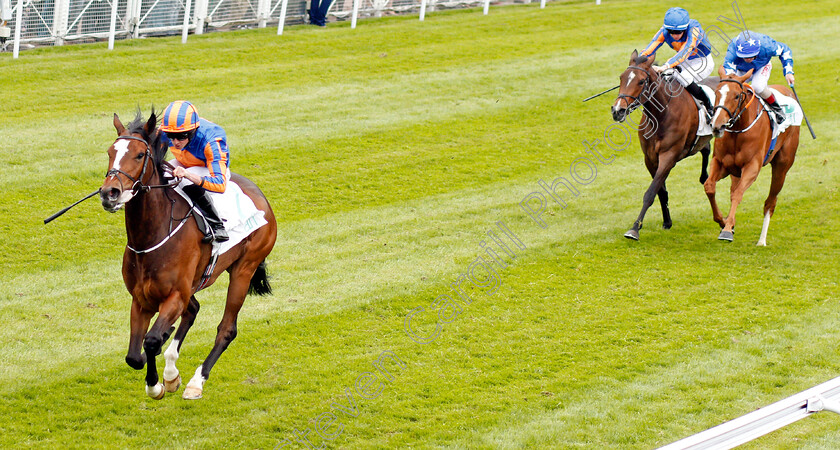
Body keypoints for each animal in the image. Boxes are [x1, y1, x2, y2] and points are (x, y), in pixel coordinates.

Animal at [98, 110, 276, 400]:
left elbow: (151, 341)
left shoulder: (174, 295)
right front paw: (163, 377)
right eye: (110, 152)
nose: (109, 193)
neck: (151, 237)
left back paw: (195, 382)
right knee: (192, 310)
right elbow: (134, 356)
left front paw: (156, 385)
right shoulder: (141, 299)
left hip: (244, 269)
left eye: (139, 154)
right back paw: (172, 371)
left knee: (226, 329)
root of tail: (260, 195)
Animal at [612, 49, 716, 241]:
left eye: (641, 81)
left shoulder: (669, 157)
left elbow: (650, 192)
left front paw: (634, 229)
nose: (617, 111)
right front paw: (667, 222)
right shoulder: (650, 158)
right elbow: (661, 192)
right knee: (705, 148)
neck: (661, 115)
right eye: (621, 78)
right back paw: (704, 176)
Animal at [704, 68, 796, 246]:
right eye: (717, 92)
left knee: (770, 202)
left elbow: (738, 194)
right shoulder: (721, 163)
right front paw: (724, 222)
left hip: (782, 166)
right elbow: (710, 186)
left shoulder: (752, 166)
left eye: (736, 96)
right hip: (735, 172)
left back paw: (762, 240)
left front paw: (727, 230)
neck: (738, 130)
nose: (717, 126)